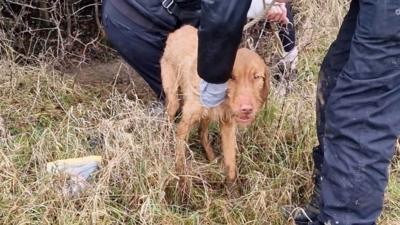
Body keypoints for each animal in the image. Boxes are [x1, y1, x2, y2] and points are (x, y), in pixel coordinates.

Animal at [161, 24, 270, 192]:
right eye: (231, 77)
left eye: (257, 77)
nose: (246, 109)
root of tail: (180, 29)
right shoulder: (183, 126)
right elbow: (180, 161)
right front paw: (183, 187)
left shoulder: (228, 125)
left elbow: (231, 163)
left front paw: (233, 192)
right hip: (173, 97)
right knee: (169, 116)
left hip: (207, 115)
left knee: (202, 133)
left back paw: (212, 159)